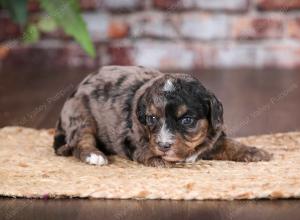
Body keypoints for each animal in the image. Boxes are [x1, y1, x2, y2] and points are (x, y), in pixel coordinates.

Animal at [53, 65, 272, 167]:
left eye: (187, 120)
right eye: (151, 119)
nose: (163, 146)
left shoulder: (214, 137)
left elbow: (231, 144)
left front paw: (256, 152)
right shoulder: (134, 141)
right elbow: (147, 152)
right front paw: (161, 160)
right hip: (81, 117)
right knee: (80, 142)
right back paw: (95, 156)